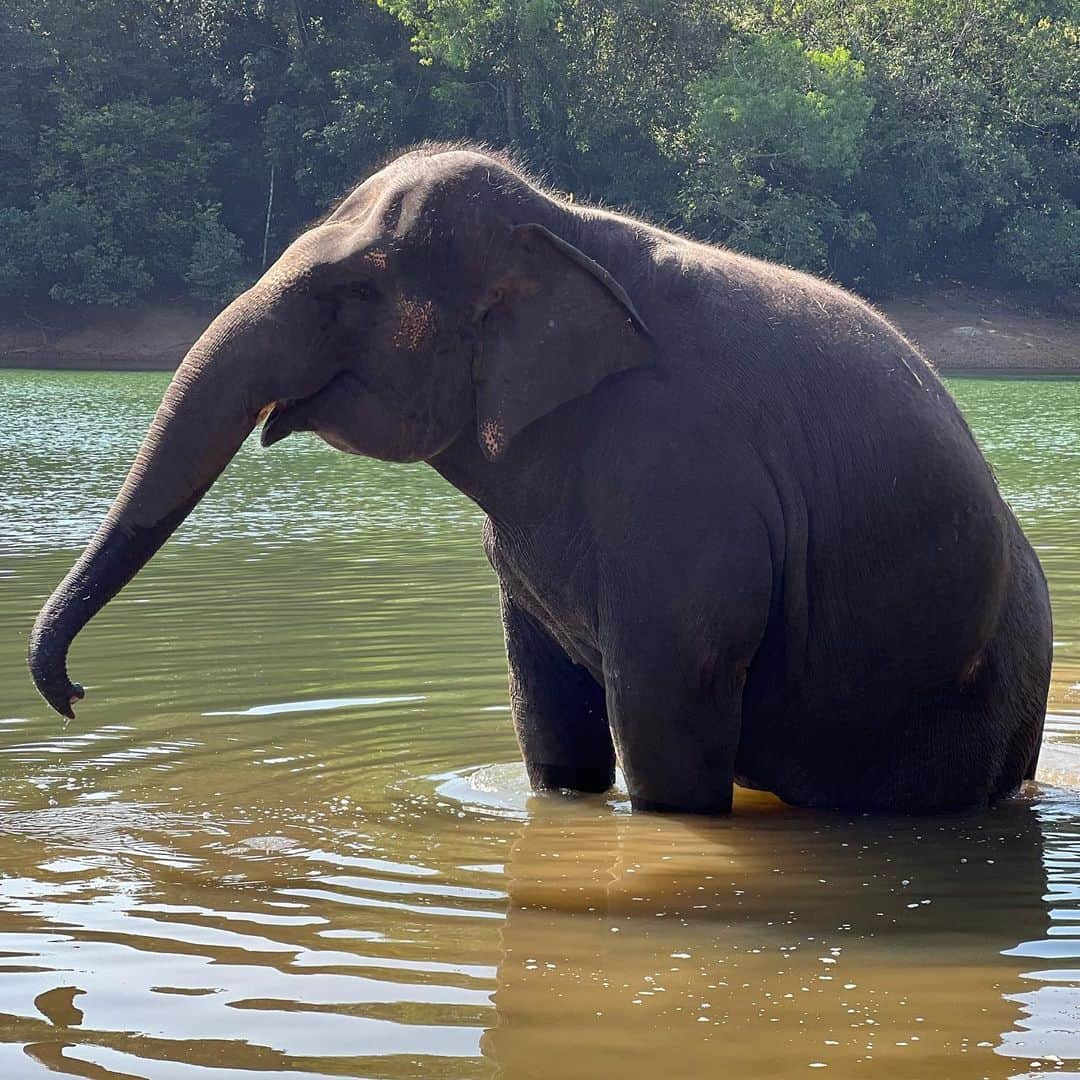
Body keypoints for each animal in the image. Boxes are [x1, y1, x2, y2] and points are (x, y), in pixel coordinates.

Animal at [29, 145, 1049, 816]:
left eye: (353, 294)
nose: (74, 695)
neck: (564, 224)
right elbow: (546, 718)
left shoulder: (682, 494)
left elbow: (665, 725)